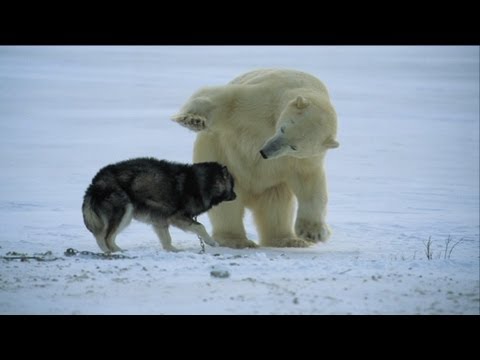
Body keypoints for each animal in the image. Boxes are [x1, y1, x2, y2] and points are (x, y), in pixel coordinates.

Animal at [82, 158, 236, 253]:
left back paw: (111, 251)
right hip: (124, 212)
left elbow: (166, 239)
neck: (201, 183)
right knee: (106, 237)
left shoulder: (160, 219)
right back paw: (115, 252)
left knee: (101, 236)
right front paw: (212, 242)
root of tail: (96, 181)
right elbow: (200, 227)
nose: (236, 196)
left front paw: (173, 250)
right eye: (233, 186)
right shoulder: (176, 217)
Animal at [172, 68, 338, 248]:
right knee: (226, 204)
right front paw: (193, 119)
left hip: (273, 185)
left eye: (295, 147)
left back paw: (288, 240)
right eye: (283, 128)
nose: (265, 152)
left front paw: (312, 233)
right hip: (221, 159)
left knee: (276, 206)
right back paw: (236, 240)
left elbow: (310, 184)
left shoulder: (305, 159)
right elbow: (225, 100)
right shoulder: (262, 100)